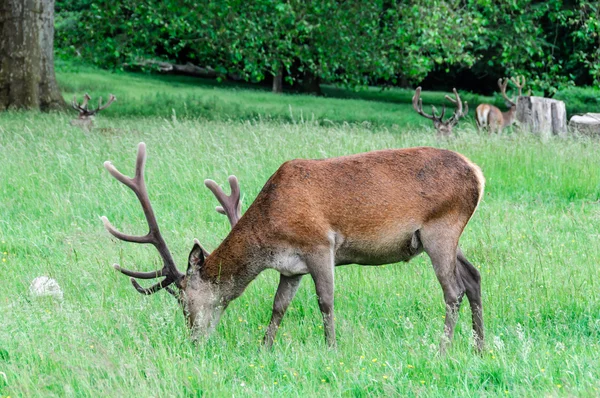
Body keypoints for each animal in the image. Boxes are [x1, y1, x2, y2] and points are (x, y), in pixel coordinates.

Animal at [101, 142, 486, 352]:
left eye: (182, 301)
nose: (193, 340)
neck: (270, 231)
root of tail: (478, 174)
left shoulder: (319, 244)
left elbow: (325, 301)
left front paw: (331, 349)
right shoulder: (290, 267)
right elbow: (279, 307)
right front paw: (264, 350)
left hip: (440, 228)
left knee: (453, 291)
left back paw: (442, 350)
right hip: (449, 236)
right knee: (473, 277)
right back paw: (479, 348)